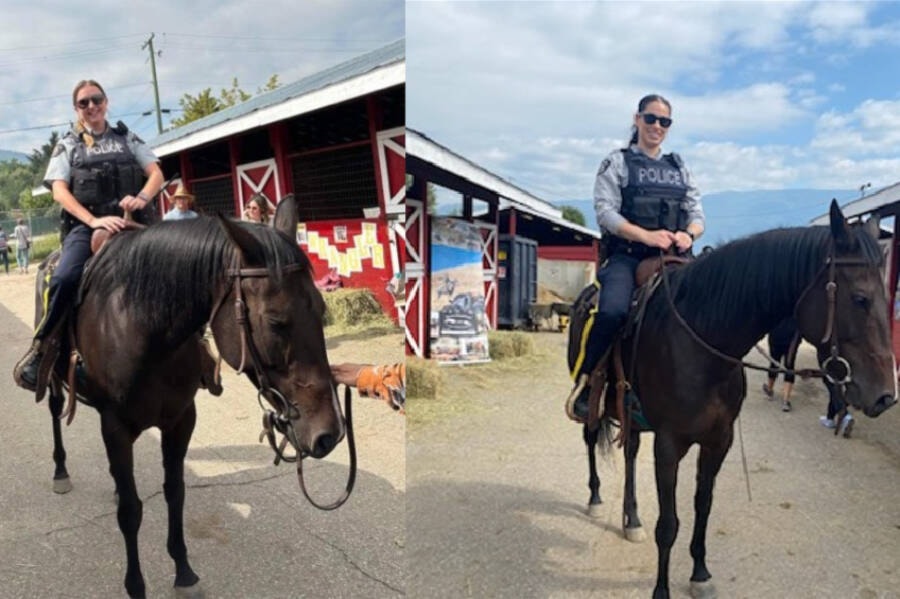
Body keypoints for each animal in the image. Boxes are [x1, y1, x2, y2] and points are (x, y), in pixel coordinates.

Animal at [31, 195, 342, 596]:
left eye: (321, 308)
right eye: (276, 321)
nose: (329, 434)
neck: (144, 329)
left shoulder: (180, 419)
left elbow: (174, 491)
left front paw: (183, 569)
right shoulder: (115, 426)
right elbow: (130, 511)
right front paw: (136, 585)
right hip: (53, 382)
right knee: (55, 412)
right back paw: (60, 471)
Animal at [580, 203, 896, 599]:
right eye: (860, 299)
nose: (885, 395)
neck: (702, 346)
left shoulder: (718, 441)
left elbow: (703, 506)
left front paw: (700, 573)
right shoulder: (669, 445)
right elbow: (668, 524)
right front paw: (661, 590)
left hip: (630, 414)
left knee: (630, 454)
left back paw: (632, 518)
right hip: (593, 403)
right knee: (591, 438)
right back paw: (595, 500)